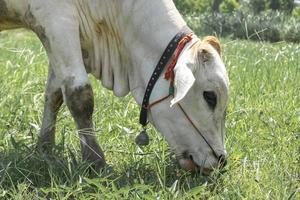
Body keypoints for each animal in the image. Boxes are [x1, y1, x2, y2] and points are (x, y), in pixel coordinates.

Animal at [0, 0, 230, 174]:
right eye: (210, 97)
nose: (220, 160)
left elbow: (55, 94)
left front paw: (45, 147)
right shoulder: (56, 20)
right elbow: (79, 95)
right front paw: (95, 161)